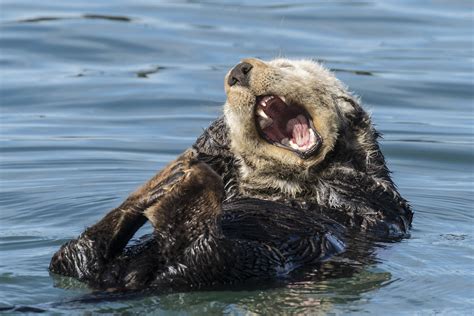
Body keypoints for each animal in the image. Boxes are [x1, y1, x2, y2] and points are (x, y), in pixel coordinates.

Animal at [48, 57, 412, 292]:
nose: (239, 70)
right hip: (93, 263)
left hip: (230, 262)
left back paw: (185, 180)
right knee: (78, 251)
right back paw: (171, 177)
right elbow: (214, 153)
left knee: (191, 240)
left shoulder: (375, 201)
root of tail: (129, 276)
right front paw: (218, 131)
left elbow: (358, 185)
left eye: (287, 67)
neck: (285, 187)